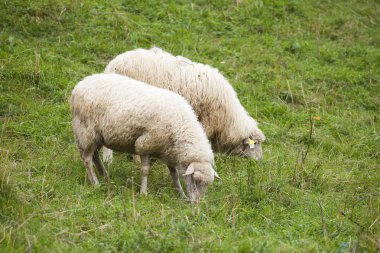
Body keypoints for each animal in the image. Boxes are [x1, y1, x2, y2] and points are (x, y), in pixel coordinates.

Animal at [70, 73, 220, 202]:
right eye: (195, 180)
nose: (196, 204)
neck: (181, 127)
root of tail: (80, 85)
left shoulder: (168, 152)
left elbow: (175, 175)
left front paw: (181, 194)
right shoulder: (145, 144)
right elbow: (145, 171)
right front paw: (143, 193)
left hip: (97, 136)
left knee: (95, 155)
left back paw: (105, 176)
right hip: (86, 131)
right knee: (87, 159)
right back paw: (95, 183)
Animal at [102, 46, 266, 164]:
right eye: (256, 143)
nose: (260, 161)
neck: (229, 120)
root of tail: (112, 66)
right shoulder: (205, 123)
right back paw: (112, 160)